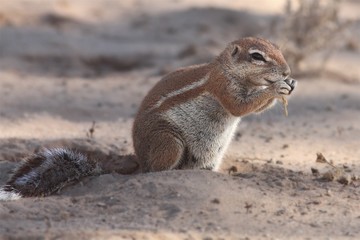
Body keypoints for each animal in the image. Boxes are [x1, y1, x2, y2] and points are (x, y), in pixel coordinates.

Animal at [0, 36, 296, 201]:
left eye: (279, 50)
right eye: (257, 56)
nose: (287, 70)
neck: (228, 69)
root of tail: (140, 162)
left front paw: (289, 85)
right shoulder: (221, 85)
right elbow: (238, 107)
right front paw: (275, 88)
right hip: (168, 141)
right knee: (156, 170)